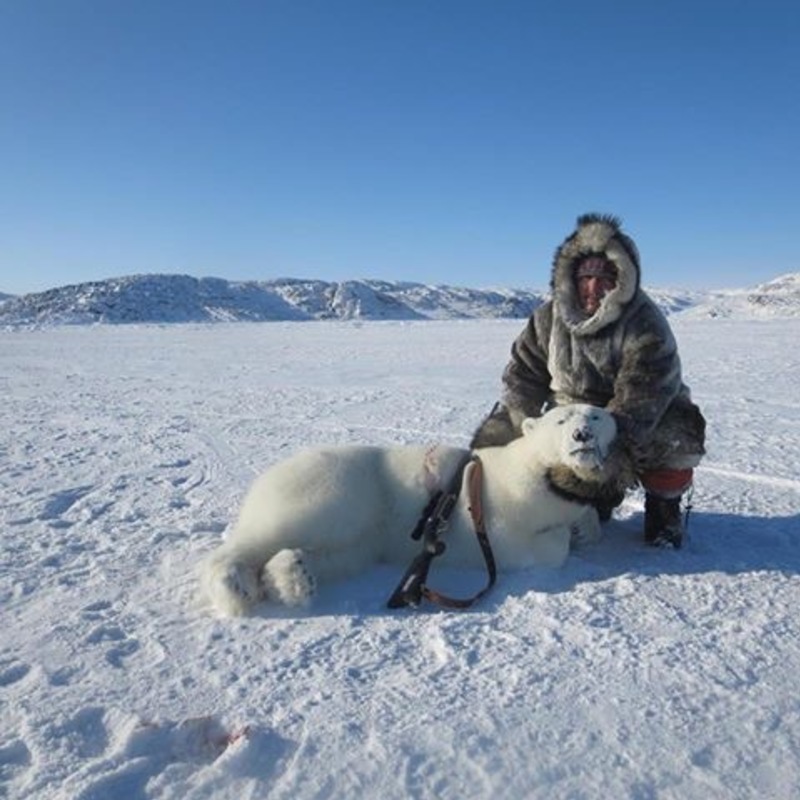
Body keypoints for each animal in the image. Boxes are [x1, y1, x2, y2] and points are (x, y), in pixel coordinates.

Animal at [199, 404, 619, 616]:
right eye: (560, 419)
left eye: (596, 415)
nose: (582, 435)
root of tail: (266, 478)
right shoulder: (501, 504)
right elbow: (524, 545)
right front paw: (564, 535)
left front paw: (585, 527)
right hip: (337, 486)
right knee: (280, 527)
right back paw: (235, 585)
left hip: (367, 537)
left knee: (338, 554)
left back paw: (291, 578)